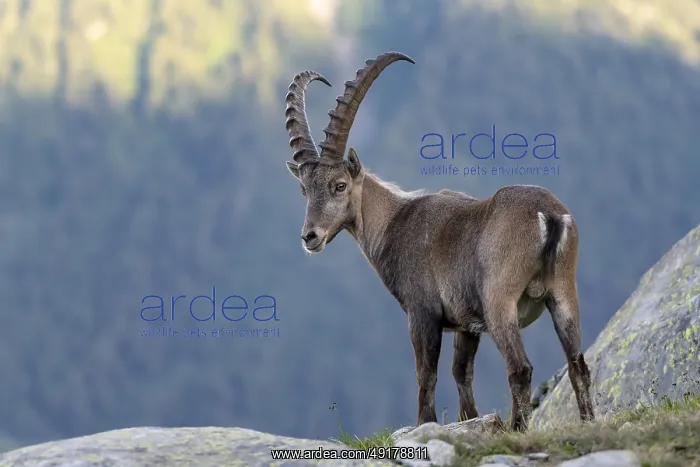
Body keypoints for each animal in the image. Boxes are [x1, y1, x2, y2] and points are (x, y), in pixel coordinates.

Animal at [283, 52, 595, 431]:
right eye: (304, 189)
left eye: (339, 185)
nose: (310, 236)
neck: (394, 223)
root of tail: (548, 216)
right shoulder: (467, 324)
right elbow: (461, 372)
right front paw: (469, 419)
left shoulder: (423, 312)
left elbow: (426, 374)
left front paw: (425, 424)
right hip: (563, 292)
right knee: (578, 364)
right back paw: (588, 423)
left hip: (500, 301)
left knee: (520, 369)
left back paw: (517, 429)